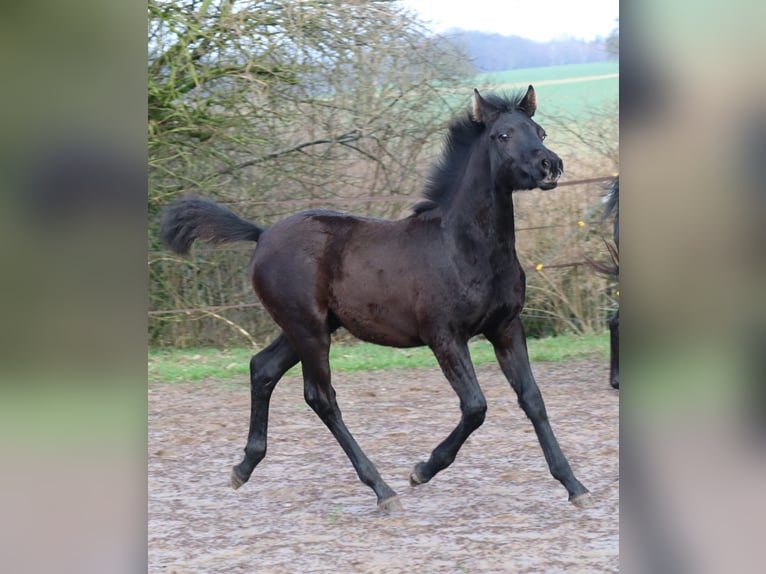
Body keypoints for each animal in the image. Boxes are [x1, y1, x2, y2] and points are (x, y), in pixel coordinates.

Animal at [160, 84, 592, 508]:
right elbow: (475, 407)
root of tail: (262, 234)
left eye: (540, 133)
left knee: (262, 368)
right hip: (309, 330)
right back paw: (382, 489)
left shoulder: (505, 328)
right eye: (503, 135)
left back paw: (244, 467)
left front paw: (574, 484)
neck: (462, 247)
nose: (550, 165)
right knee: (321, 396)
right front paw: (421, 470)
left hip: (307, 327)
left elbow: (532, 399)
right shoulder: (445, 337)